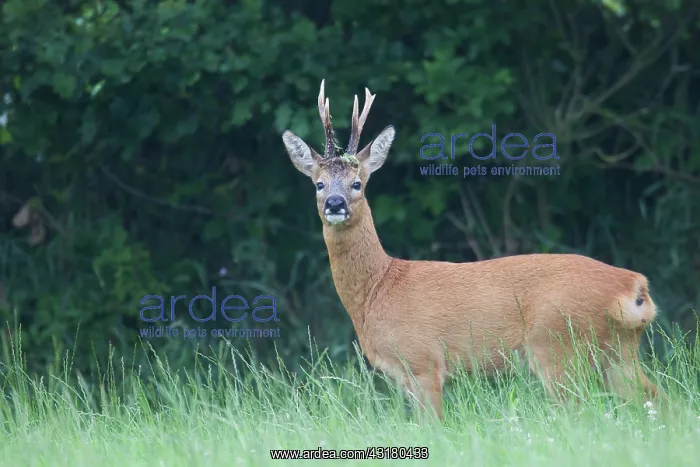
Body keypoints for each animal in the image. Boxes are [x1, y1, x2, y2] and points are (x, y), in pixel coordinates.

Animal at [281, 79, 661, 419]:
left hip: (557, 345)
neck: (378, 289)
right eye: (319, 184)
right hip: (617, 352)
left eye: (357, 183)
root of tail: (632, 284)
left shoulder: (424, 361)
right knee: (657, 399)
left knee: (584, 412)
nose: (335, 203)